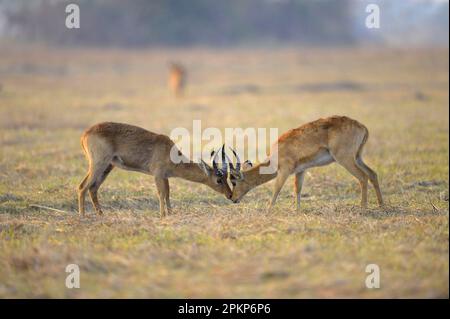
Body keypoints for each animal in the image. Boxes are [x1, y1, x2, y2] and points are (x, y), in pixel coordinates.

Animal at [78, 122, 232, 218]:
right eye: (218, 179)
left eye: (227, 177)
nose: (230, 195)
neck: (170, 152)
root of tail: (85, 133)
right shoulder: (157, 175)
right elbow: (161, 194)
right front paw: (162, 215)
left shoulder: (165, 176)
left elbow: (168, 194)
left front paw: (170, 214)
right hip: (98, 164)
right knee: (82, 187)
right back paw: (83, 216)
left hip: (108, 167)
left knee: (93, 188)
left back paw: (101, 214)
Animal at [229, 116, 384, 211]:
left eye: (234, 182)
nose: (233, 198)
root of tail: (362, 127)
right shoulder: (300, 170)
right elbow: (298, 188)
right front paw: (297, 210)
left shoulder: (284, 170)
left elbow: (277, 188)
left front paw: (269, 210)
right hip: (357, 157)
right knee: (373, 174)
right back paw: (381, 205)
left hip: (345, 159)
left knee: (363, 177)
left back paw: (363, 207)